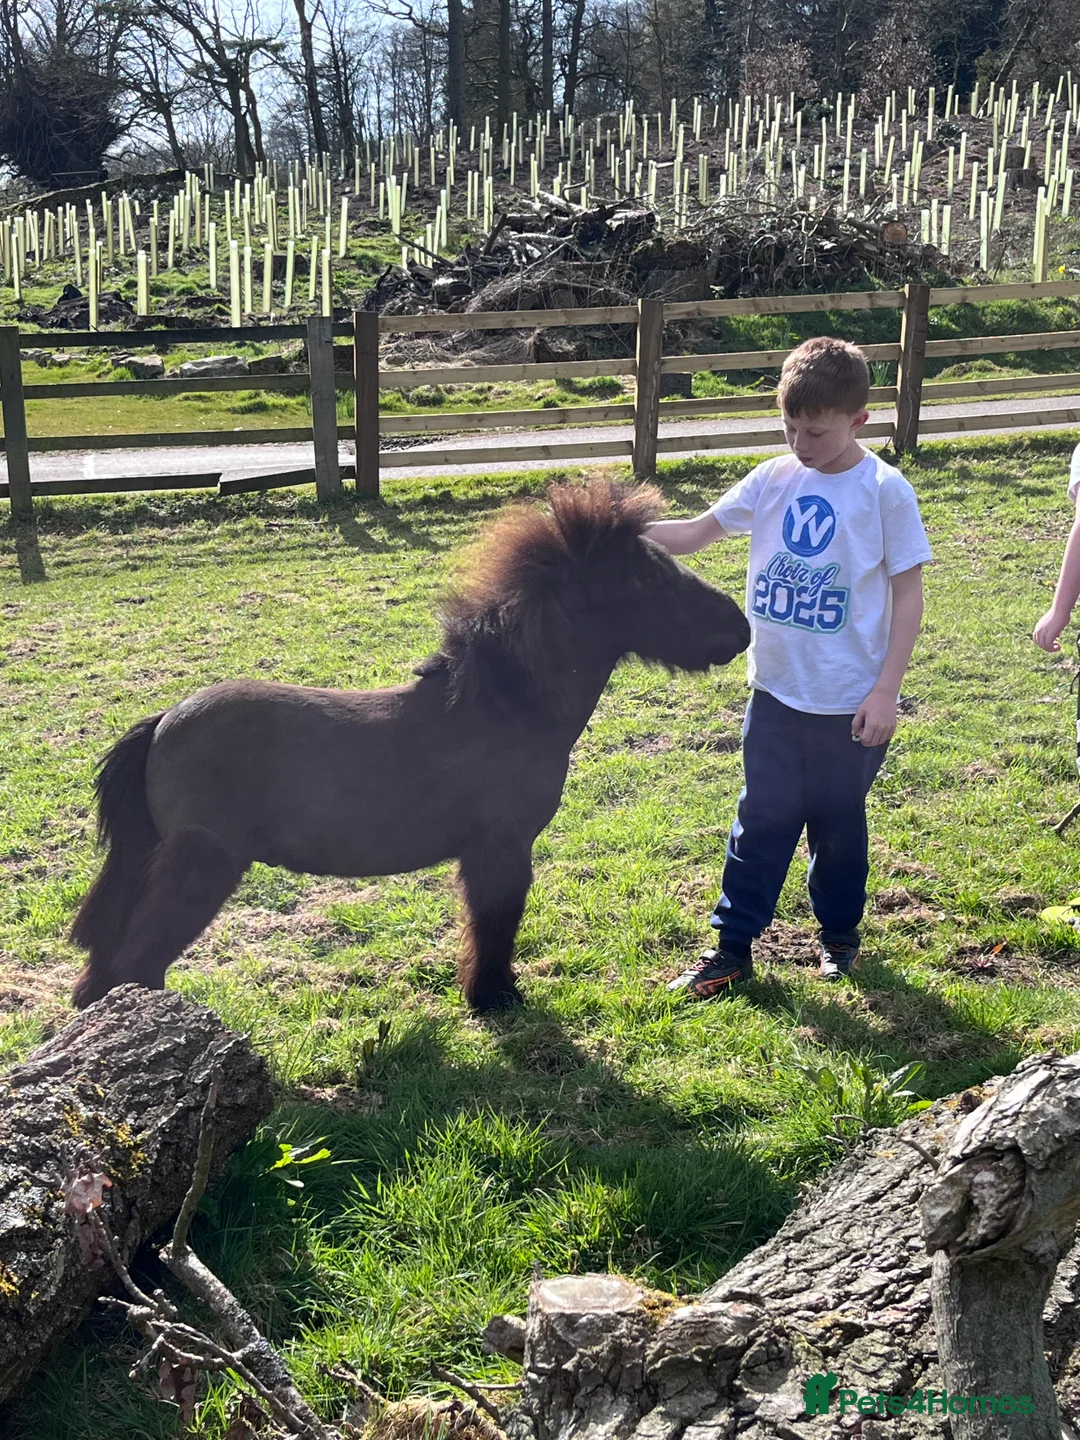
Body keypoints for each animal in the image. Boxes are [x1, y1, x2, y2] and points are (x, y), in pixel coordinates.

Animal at [70, 477, 750, 1013]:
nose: (739, 628)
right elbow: (495, 923)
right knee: (136, 963)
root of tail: (163, 722)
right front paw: (495, 997)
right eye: (644, 575)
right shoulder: (500, 847)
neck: (501, 712)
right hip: (202, 863)